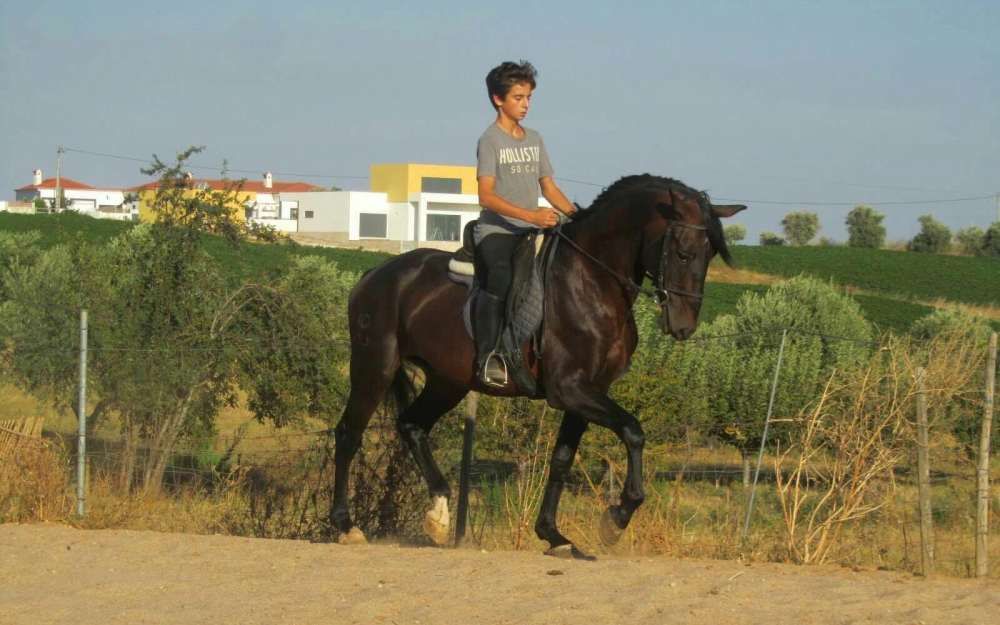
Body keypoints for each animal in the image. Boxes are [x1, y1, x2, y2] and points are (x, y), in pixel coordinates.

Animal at [332, 173, 748, 560]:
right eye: (681, 252)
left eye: (710, 254)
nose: (683, 326)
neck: (592, 281)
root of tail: (374, 275)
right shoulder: (570, 389)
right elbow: (633, 430)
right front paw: (616, 519)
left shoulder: (588, 393)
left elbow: (562, 460)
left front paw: (554, 535)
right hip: (375, 365)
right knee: (349, 433)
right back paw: (345, 526)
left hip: (447, 381)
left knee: (412, 426)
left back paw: (438, 515)